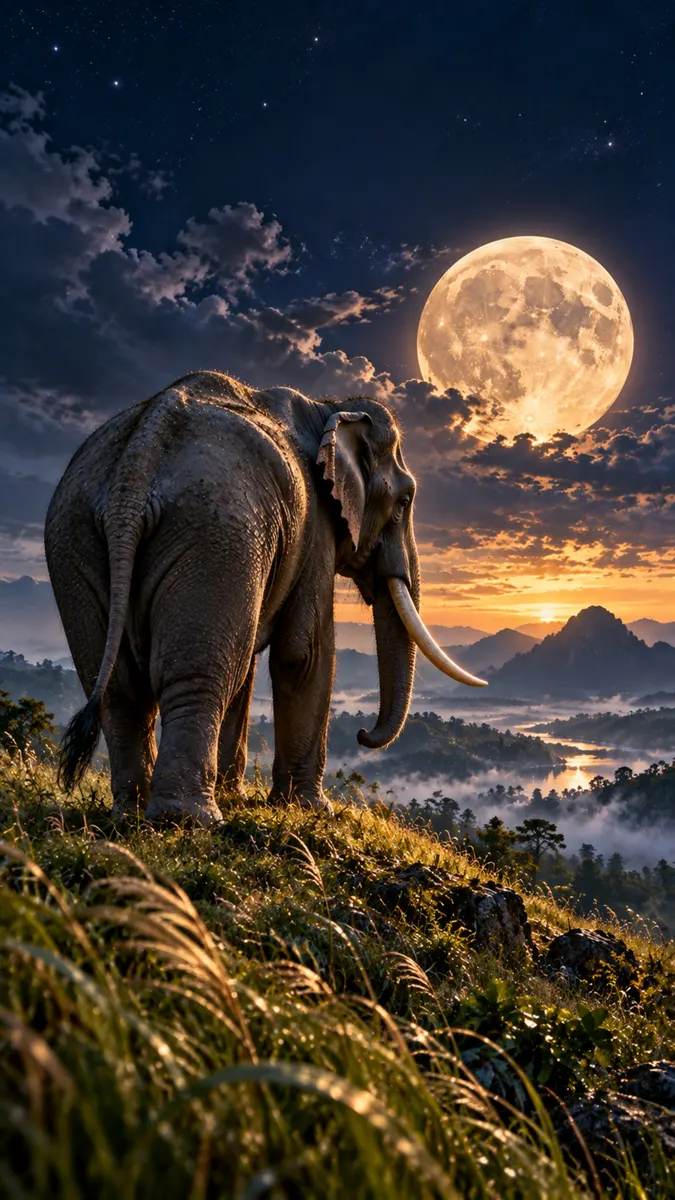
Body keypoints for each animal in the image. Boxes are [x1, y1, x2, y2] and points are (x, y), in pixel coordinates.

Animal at [45, 371, 485, 826]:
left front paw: (238, 796)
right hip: (215, 532)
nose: (364, 734)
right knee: (197, 672)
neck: (330, 408)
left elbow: (252, 662)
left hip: (75, 540)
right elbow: (303, 653)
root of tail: (137, 461)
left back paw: (130, 814)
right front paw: (311, 809)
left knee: (121, 685)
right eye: (403, 502)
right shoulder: (316, 527)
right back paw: (189, 819)